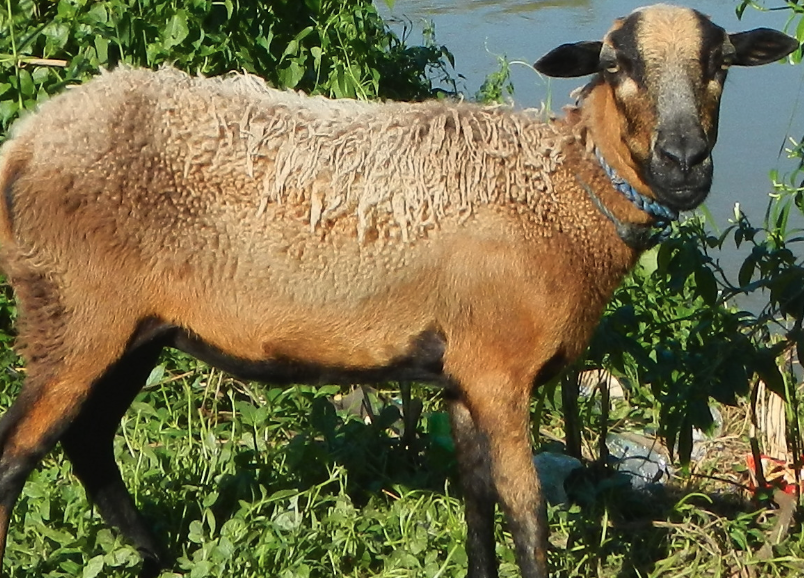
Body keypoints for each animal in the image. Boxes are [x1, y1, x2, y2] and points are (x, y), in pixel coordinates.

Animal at [0, 4, 796, 576]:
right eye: (616, 64)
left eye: (720, 63)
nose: (684, 161)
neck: (563, 195)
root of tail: (30, 136)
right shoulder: (499, 370)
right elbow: (527, 514)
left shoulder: (464, 373)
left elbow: (476, 505)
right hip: (73, 312)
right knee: (17, 457)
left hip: (130, 328)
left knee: (90, 445)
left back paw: (156, 561)